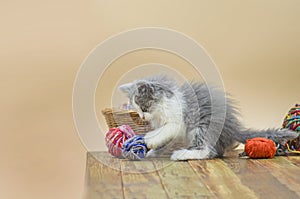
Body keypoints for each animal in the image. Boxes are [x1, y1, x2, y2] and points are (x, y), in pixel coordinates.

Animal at [119, 74, 298, 160]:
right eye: (137, 110)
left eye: (144, 108)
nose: (142, 117)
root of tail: (232, 128)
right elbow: (163, 138)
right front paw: (152, 152)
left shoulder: (176, 120)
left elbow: (163, 131)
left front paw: (148, 140)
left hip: (202, 126)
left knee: (207, 150)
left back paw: (182, 155)